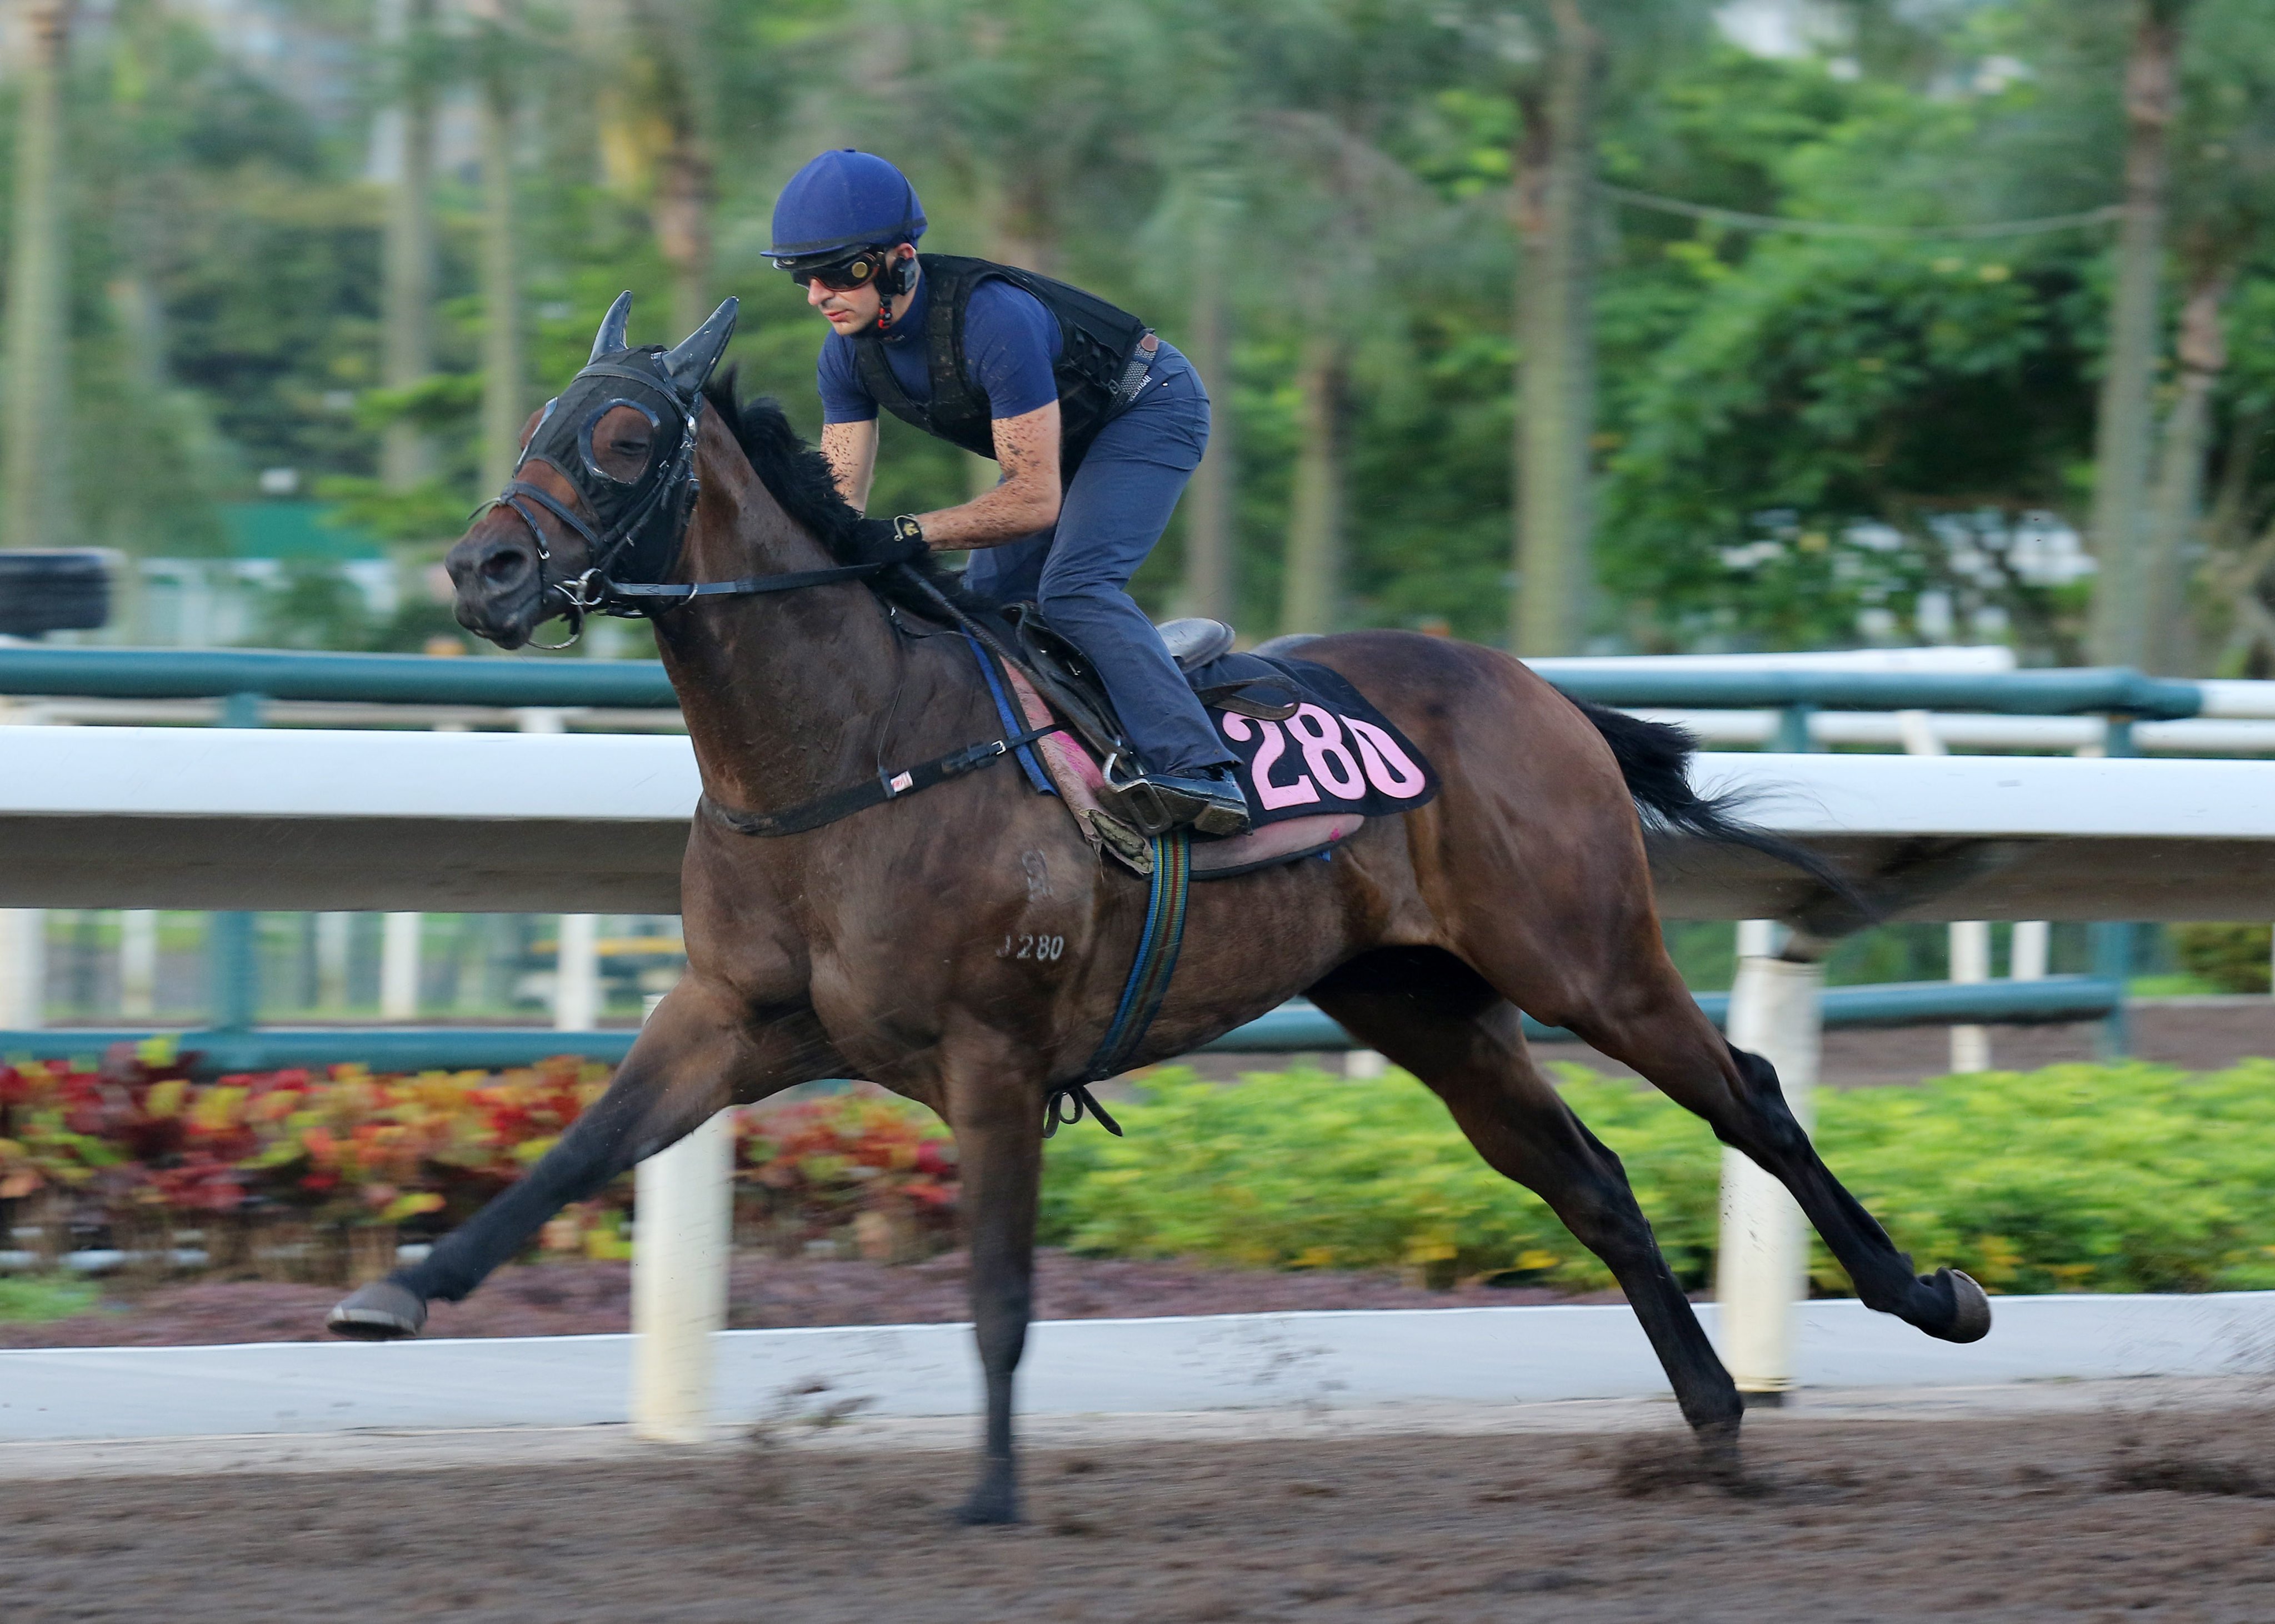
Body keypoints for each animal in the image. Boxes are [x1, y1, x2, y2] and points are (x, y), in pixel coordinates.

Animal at [329, 293, 1983, 1519]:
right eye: (534, 425)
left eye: (620, 436)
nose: (482, 568)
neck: (846, 747)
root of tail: (1540, 692)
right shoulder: (736, 1016)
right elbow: (580, 1150)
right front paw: (398, 1294)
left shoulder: (993, 1051)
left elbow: (1001, 1288)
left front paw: (992, 1493)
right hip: (1424, 1002)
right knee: (1592, 1181)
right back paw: (1709, 1423)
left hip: (1583, 957)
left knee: (1747, 1095)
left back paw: (1927, 1295)